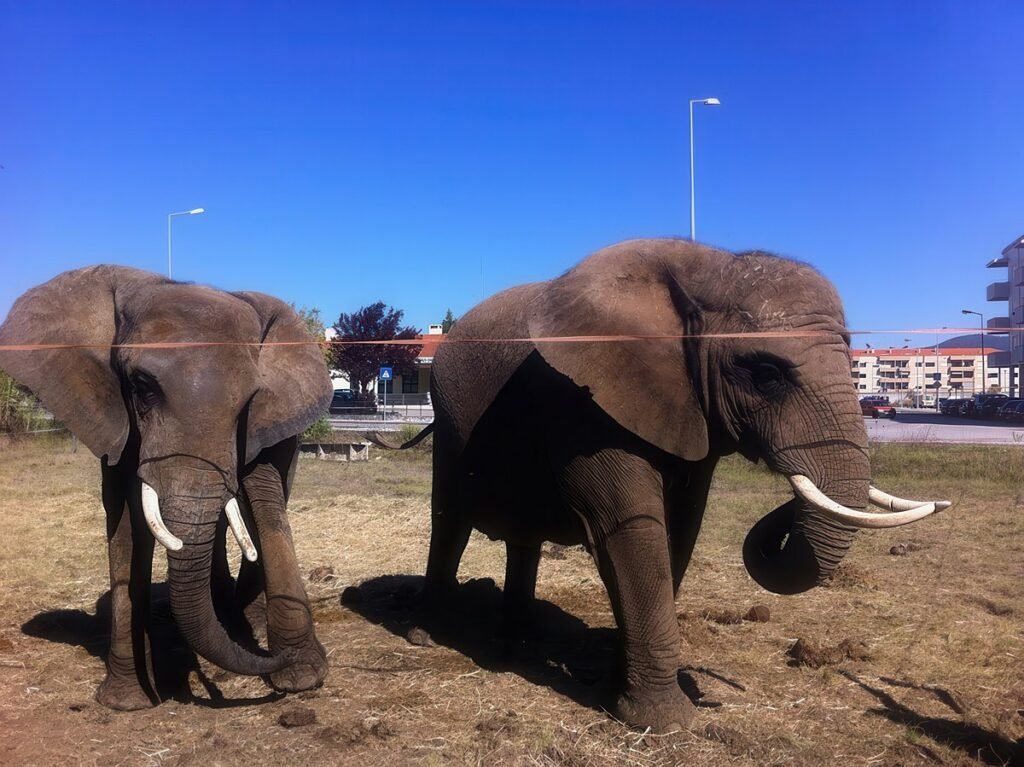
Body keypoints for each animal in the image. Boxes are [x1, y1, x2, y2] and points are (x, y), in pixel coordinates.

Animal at [0, 265, 333, 709]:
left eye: (248, 400)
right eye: (142, 387)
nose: (276, 660)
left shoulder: (264, 419)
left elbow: (262, 496)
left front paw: (301, 676)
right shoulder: (116, 418)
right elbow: (125, 519)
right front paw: (128, 701)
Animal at [413, 238, 949, 732]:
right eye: (767, 373)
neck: (710, 269)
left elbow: (681, 528)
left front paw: (617, 687)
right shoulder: (584, 405)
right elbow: (631, 528)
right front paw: (663, 722)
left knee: (521, 539)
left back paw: (523, 638)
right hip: (449, 418)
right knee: (449, 520)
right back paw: (428, 634)